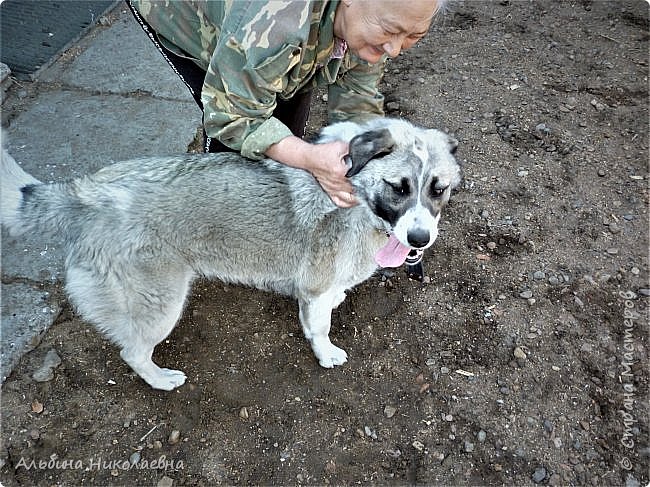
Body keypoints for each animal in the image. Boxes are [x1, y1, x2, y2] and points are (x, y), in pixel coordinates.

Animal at [0, 119, 458, 392]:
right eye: (398, 187)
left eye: (438, 189)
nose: (419, 239)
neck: (358, 198)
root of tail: (84, 193)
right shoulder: (314, 288)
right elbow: (320, 327)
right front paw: (326, 353)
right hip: (161, 305)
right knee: (133, 352)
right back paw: (161, 379)